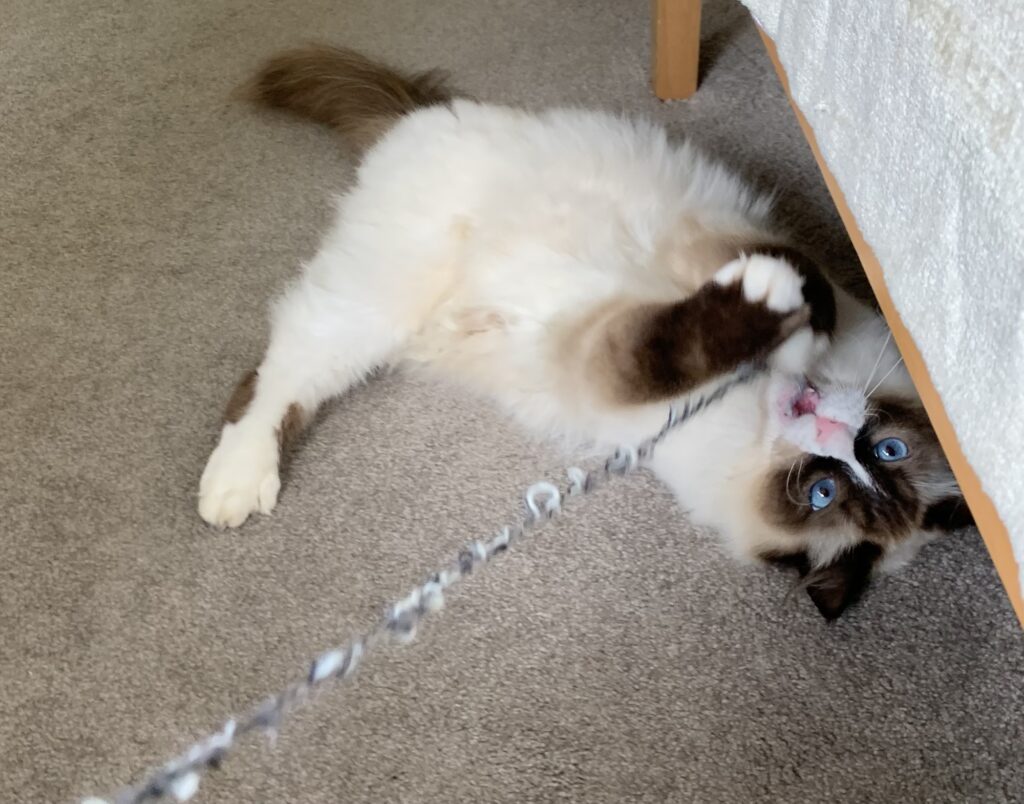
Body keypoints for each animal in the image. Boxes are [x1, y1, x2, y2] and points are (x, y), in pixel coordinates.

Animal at [195, 47, 970, 618]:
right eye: (880, 453)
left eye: (824, 495)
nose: (832, 433)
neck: (754, 404)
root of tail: (410, 117)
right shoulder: (725, 246)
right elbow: (786, 284)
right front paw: (789, 316)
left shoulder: (605, 360)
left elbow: (671, 345)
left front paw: (775, 319)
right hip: (378, 296)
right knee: (272, 378)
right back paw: (234, 486)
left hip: (379, 313)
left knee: (285, 369)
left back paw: (231, 490)